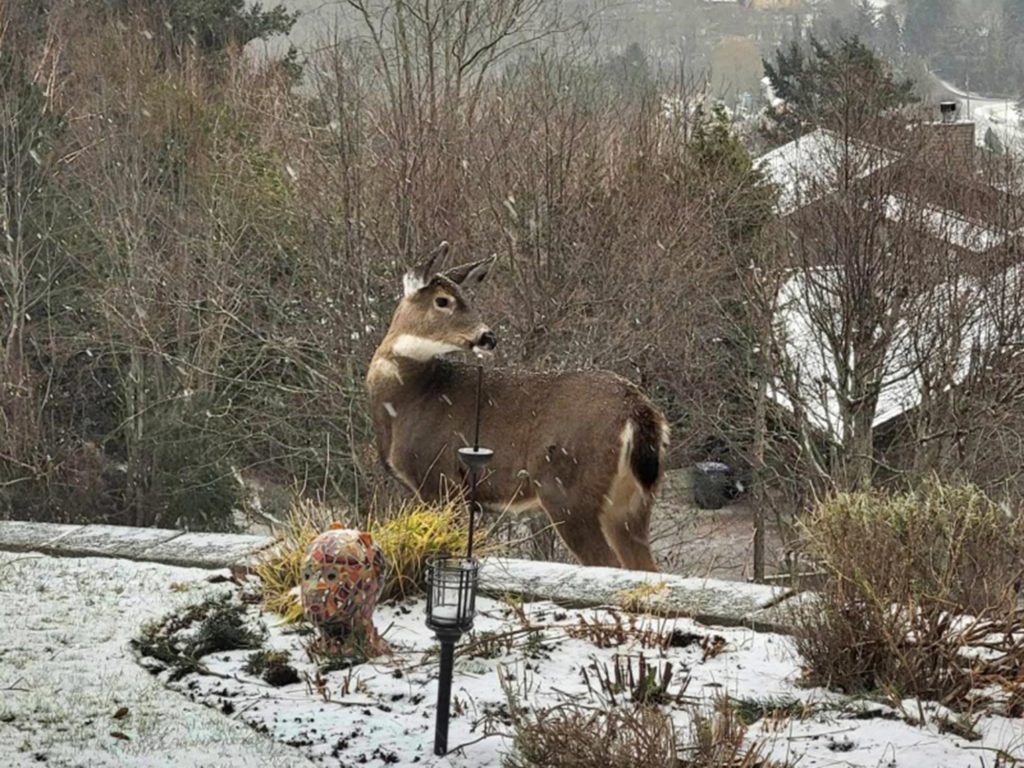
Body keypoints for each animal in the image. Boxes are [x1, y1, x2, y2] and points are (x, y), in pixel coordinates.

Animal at [364, 241, 667, 573]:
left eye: (466, 298)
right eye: (443, 300)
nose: (487, 337)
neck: (407, 400)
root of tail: (638, 410)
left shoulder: (439, 478)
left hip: (568, 490)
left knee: (607, 564)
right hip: (633, 502)